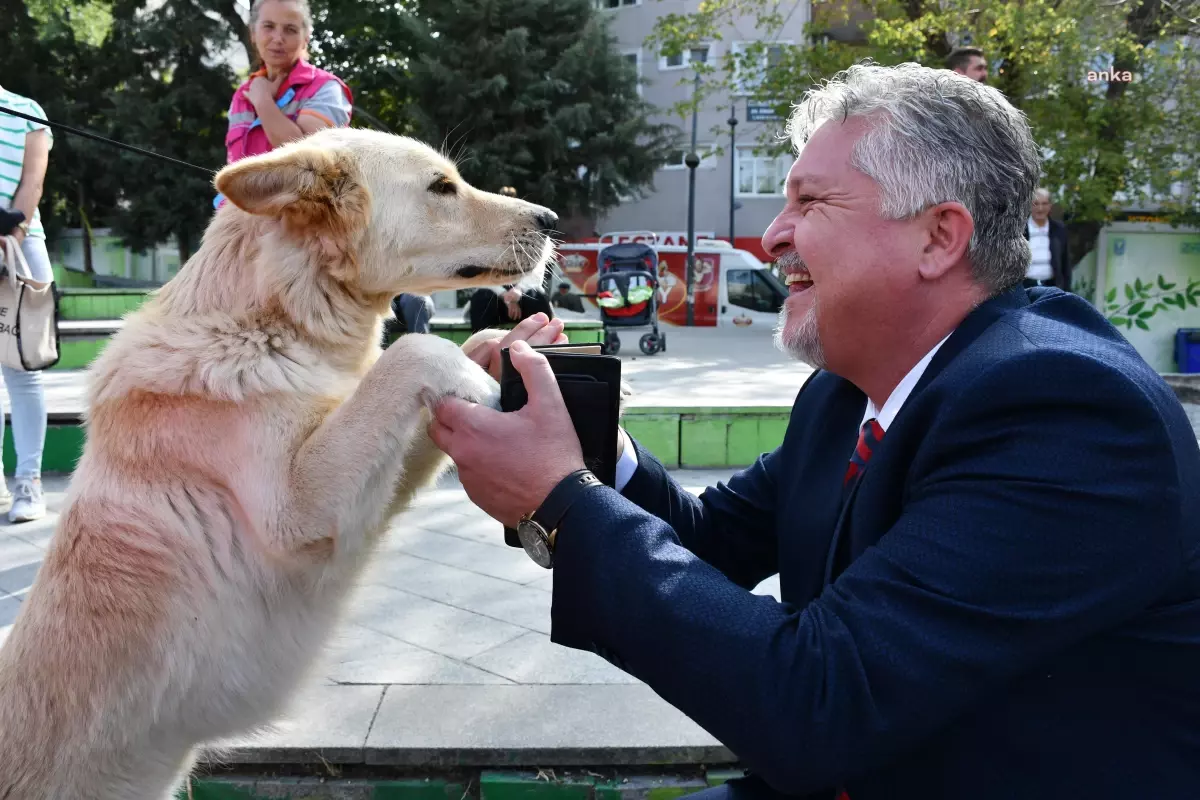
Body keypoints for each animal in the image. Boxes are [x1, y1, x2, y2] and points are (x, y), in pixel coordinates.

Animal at [0, 128, 559, 796]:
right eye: (441, 187)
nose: (552, 220)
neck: (269, 321)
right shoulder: (294, 514)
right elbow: (412, 353)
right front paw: (485, 379)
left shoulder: (354, 512)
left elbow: (428, 375)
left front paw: (498, 351)